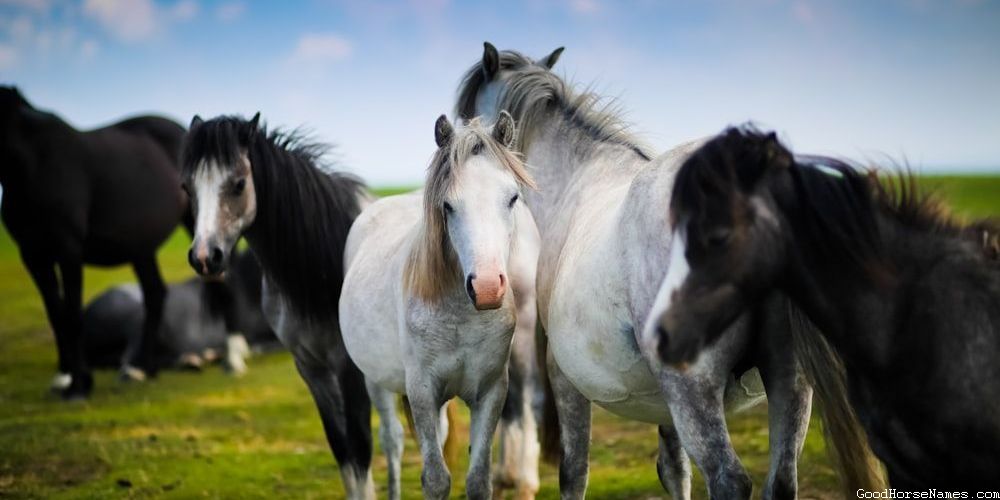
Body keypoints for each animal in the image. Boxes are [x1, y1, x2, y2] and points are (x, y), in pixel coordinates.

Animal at [0, 86, 187, 399]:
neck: (34, 163)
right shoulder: (33, 254)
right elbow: (56, 314)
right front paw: (64, 376)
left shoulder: (68, 249)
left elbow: (72, 315)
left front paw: (79, 385)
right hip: (140, 247)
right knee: (154, 293)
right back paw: (142, 368)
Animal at [181, 113, 375, 498]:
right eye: (187, 188)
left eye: (239, 183)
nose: (205, 257)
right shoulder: (311, 370)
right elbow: (343, 450)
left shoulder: (350, 370)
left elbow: (360, 450)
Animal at [339, 112, 540, 500]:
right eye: (448, 205)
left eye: (512, 198)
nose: (487, 288)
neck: (461, 317)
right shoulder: (422, 392)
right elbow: (435, 479)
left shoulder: (490, 392)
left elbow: (478, 480)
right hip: (376, 381)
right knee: (392, 441)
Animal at [457, 43, 821, 499]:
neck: (578, 177)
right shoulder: (664, 405)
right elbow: (674, 469)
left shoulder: (565, 377)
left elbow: (573, 471)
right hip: (790, 384)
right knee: (781, 480)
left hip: (693, 390)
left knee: (729, 479)